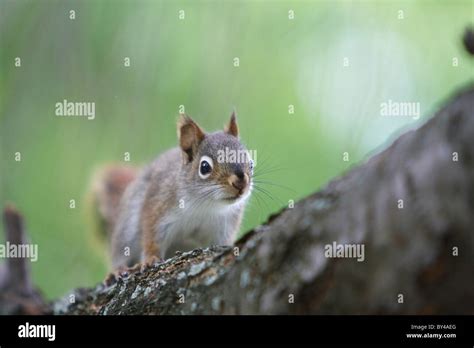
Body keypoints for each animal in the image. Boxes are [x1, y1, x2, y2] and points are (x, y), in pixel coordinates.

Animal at [94, 112, 254, 270]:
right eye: (204, 167)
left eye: (251, 163)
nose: (241, 182)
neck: (205, 205)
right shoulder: (158, 205)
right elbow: (152, 237)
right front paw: (151, 258)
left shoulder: (225, 227)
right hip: (127, 228)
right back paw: (117, 270)